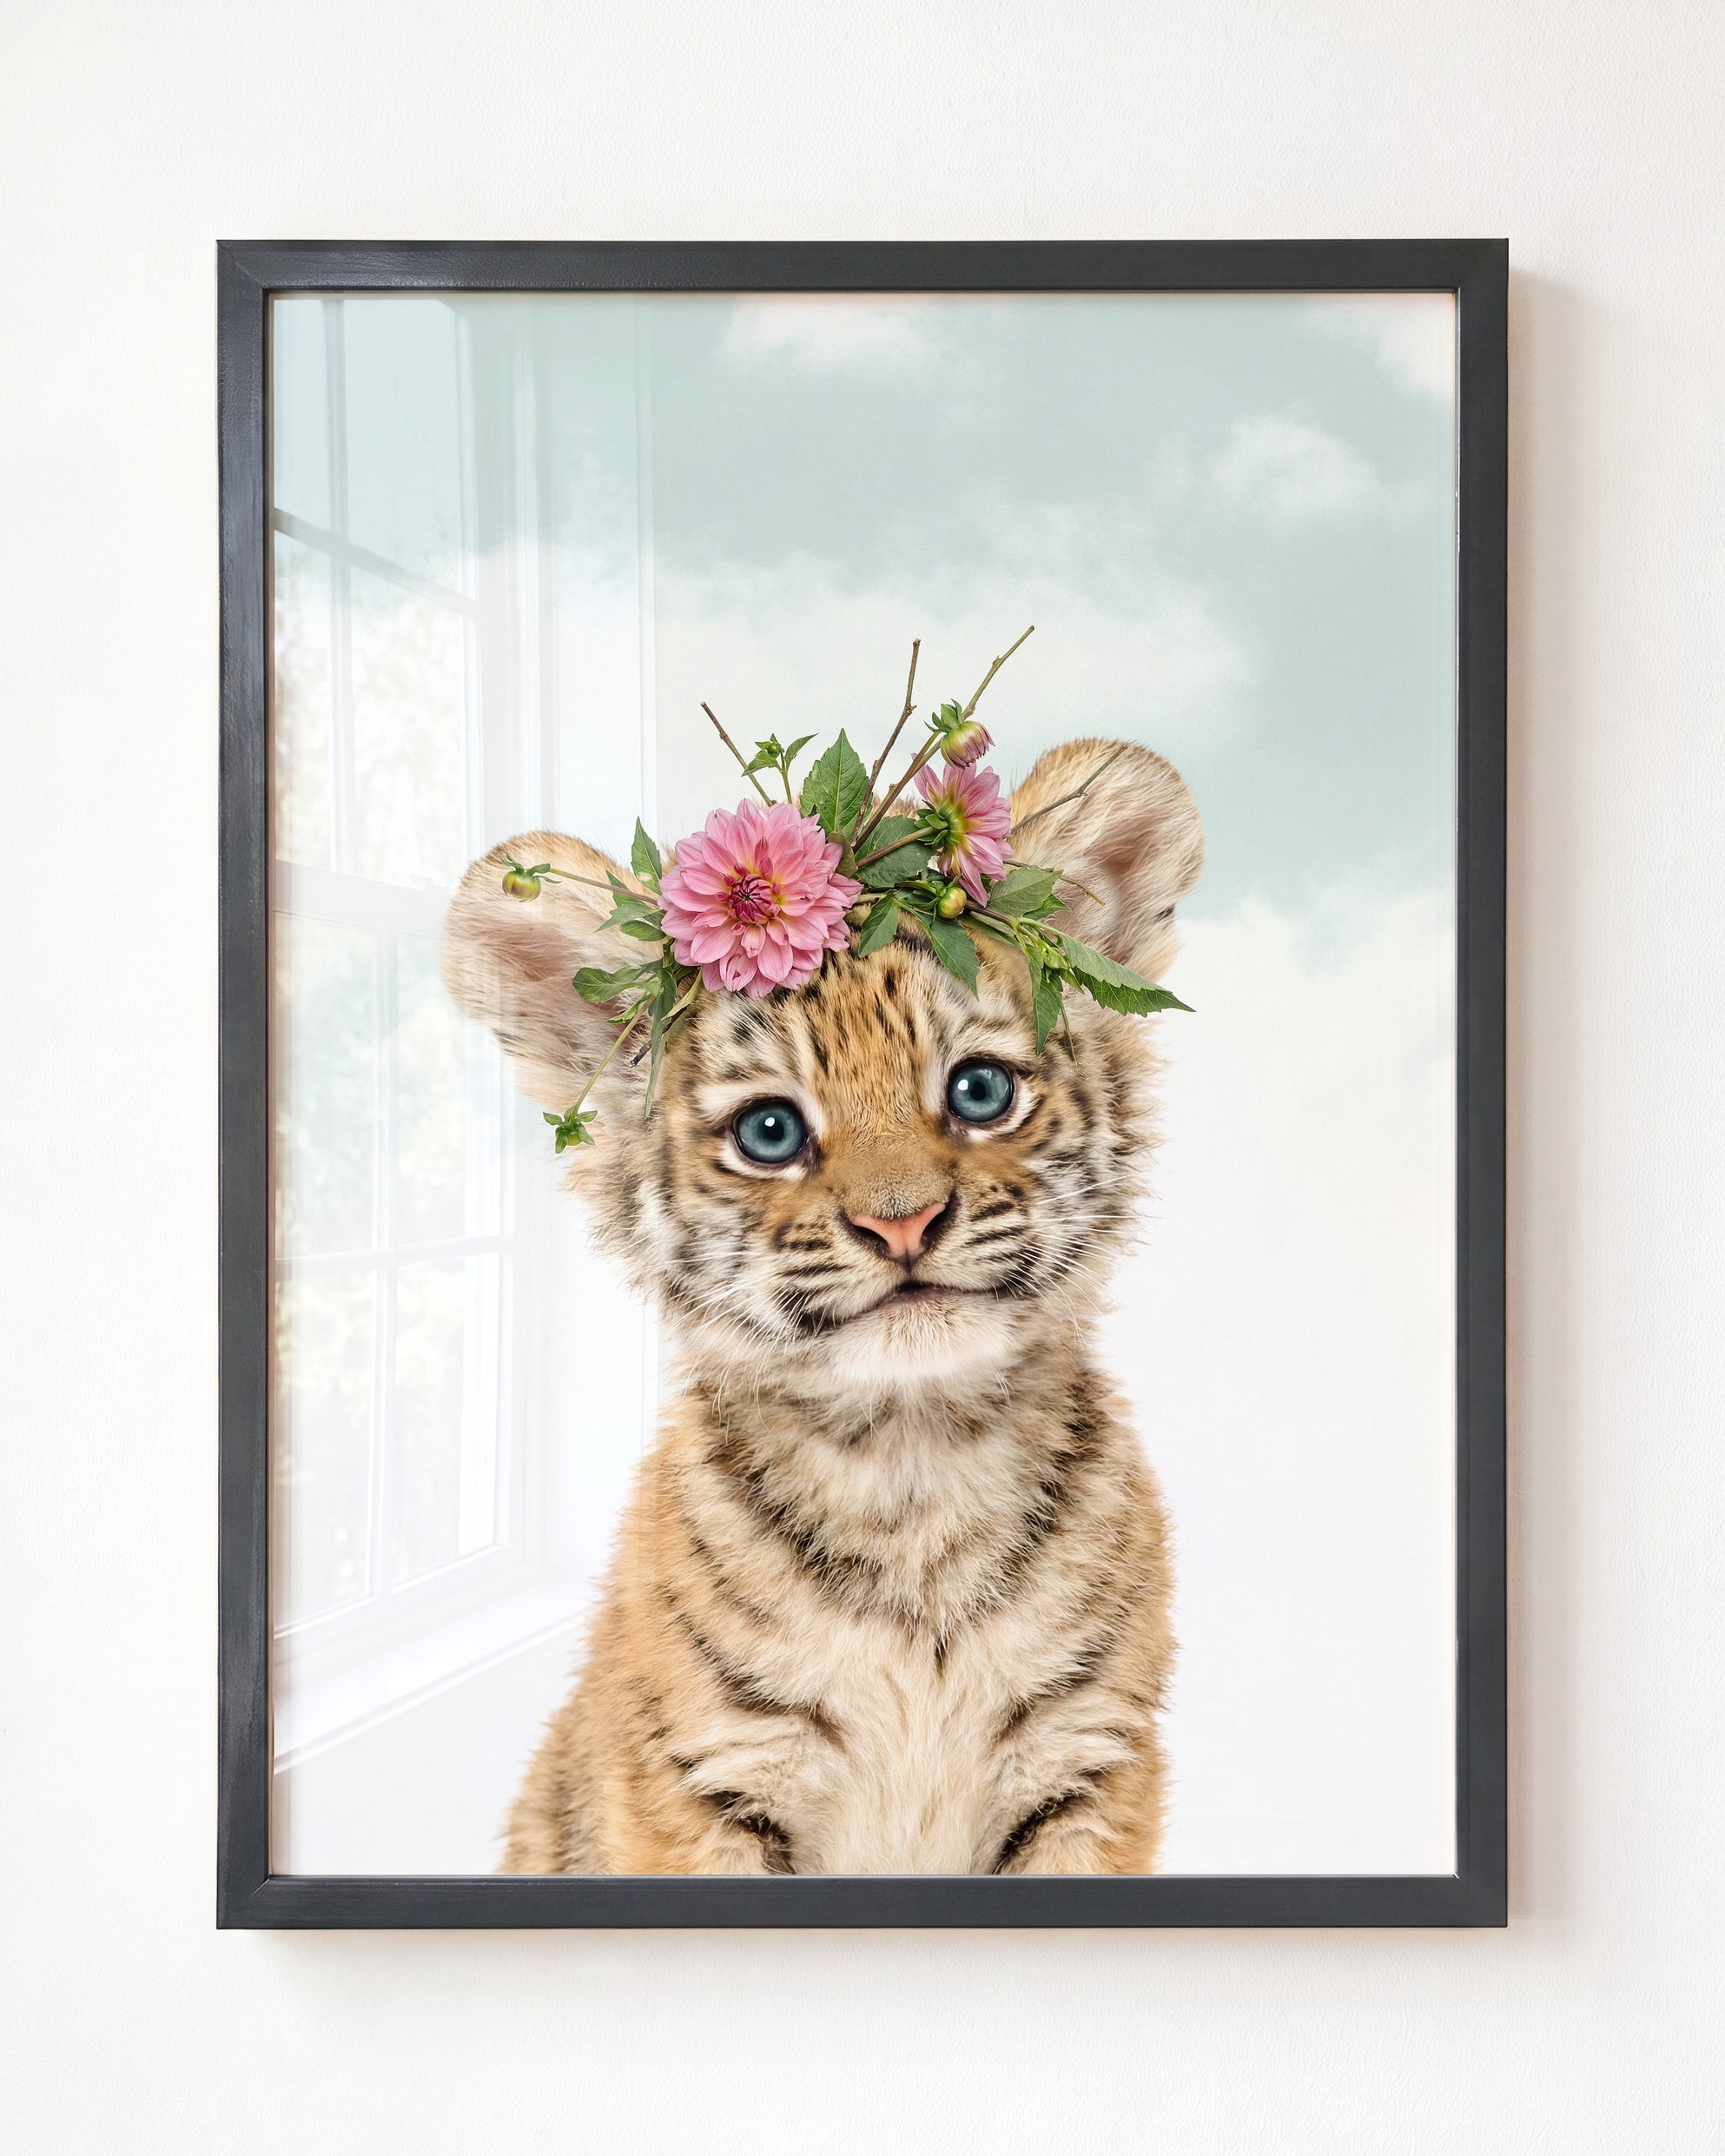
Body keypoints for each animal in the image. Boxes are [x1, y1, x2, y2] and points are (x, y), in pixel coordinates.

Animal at [441, 736, 1204, 1874]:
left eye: (980, 1091)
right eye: (770, 1131)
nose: (903, 1223)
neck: (914, 1467)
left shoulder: (1089, 1759)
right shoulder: (704, 1776)